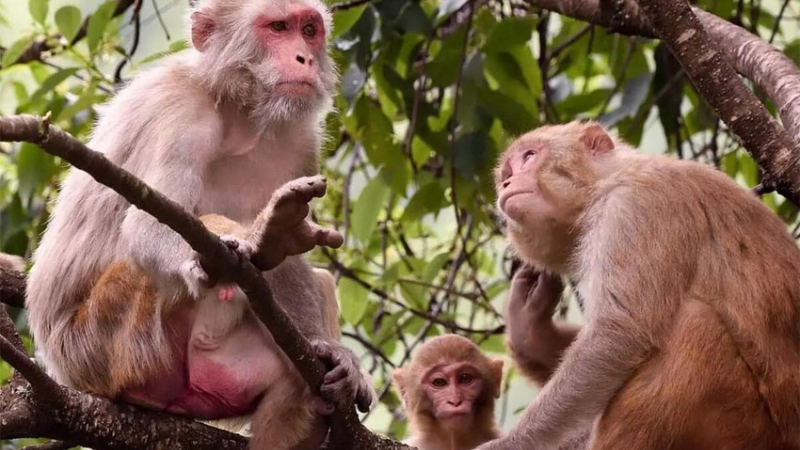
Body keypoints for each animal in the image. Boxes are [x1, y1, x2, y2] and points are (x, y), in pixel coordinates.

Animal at [25, 0, 374, 447]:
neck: (236, 109)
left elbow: (291, 268)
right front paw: (260, 238)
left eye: (309, 30)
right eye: (278, 27)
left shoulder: (300, 140)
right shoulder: (181, 114)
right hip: (108, 341)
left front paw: (327, 349)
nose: (305, 58)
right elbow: (145, 228)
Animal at [476, 121, 800, 450]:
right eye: (507, 172)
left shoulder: (635, 205)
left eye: (529, 156)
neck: (606, 183)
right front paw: (530, 333)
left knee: (695, 324)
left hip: (750, 428)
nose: (507, 183)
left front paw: (509, 444)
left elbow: (617, 334)